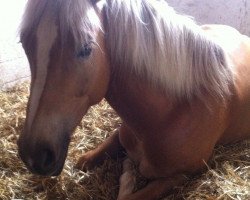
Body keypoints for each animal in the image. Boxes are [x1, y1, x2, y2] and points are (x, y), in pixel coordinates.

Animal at [17, 0, 250, 200]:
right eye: (25, 44)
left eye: (86, 48)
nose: (33, 155)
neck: (172, 113)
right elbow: (89, 157)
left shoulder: (180, 175)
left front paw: (128, 177)